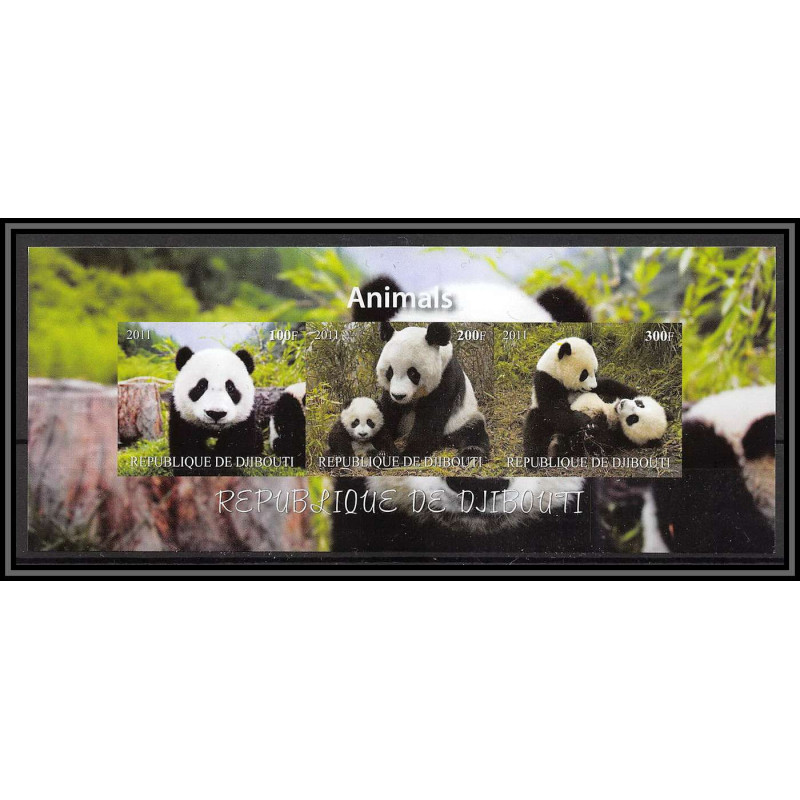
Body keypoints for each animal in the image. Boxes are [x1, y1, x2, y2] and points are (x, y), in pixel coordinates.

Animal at [169, 346, 262, 476]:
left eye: (230, 387)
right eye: (201, 386)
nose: (216, 413)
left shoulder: (244, 420)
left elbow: (237, 447)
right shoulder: (181, 417)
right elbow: (185, 447)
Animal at [376, 320, 490, 460]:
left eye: (413, 373)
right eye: (390, 372)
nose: (399, 396)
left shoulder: (445, 379)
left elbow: (429, 422)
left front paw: (407, 455)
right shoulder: (389, 392)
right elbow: (387, 413)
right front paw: (386, 451)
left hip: (462, 419)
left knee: (473, 432)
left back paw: (470, 454)